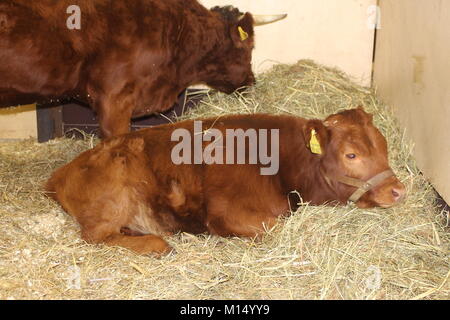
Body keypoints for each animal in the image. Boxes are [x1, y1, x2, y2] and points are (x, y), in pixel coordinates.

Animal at [46, 107, 408, 255]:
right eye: (351, 155)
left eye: (384, 145)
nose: (398, 190)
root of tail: (62, 172)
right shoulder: (228, 213)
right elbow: (274, 227)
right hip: (116, 192)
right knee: (95, 236)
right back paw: (156, 245)